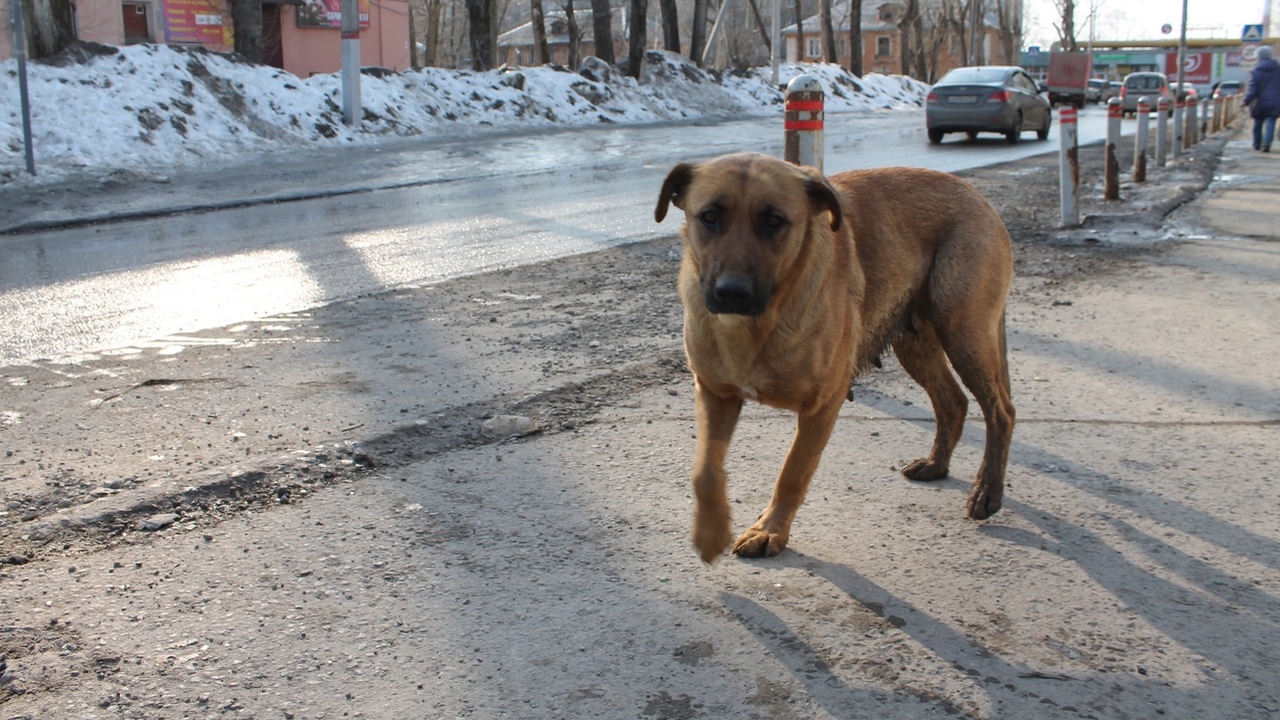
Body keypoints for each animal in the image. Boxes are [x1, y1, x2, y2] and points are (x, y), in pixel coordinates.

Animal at [655, 151, 1013, 561]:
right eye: (710, 216)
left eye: (774, 221)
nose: (732, 293)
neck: (758, 325)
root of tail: (977, 195)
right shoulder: (715, 393)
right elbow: (705, 469)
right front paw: (710, 531)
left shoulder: (822, 406)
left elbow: (793, 471)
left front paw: (770, 529)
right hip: (916, 342)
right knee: (953, 401)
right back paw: (936, 464)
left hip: (963, 331)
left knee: (1000, 411)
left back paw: (987, 491)